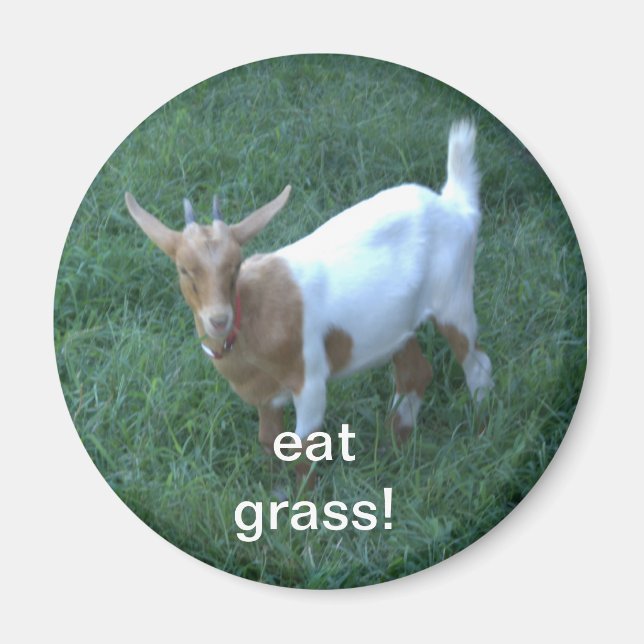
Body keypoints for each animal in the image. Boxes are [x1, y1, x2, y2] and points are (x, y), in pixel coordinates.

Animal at [124, 121, 493, 485]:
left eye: (237, 265)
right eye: (184, 269)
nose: (218, 319)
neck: (252, 316)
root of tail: (456, 205)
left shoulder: (310, 381)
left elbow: (303, 448)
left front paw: (302, 500)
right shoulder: (266, 393)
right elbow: (268, 440)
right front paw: (273, 490)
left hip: (454, 299)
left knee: (478, 365)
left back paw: (480, 434)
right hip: (399, 326)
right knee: (415, 374)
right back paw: (392, 451)